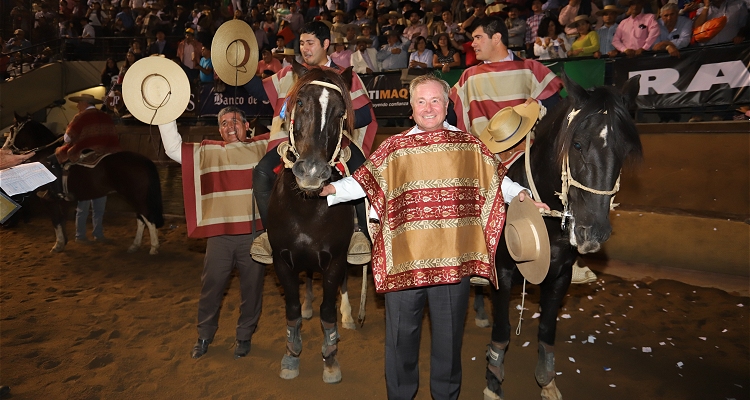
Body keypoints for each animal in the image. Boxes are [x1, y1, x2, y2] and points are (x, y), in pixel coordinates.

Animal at [7, 114, 164, 255]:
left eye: (12, 129)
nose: (6, 149)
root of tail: (143, 160)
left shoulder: (48, 200)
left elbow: (56, 221)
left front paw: (58, 245)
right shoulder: (61, 202)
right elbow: (62, 220)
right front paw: (63, 242)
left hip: (136, 197)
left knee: (148, 218)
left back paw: (154, 247)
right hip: (136, 198)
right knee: (141, 219)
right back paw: (134, 246)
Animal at [266, 64, 356, 382]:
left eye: (340, 113)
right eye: (302, 103)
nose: (312, 171)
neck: (307, 206)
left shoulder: (336, 260)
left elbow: (328, 310)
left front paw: (330, 358)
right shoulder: (282, 260)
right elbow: (291, 308)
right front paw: (291, 354)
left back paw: (349, 315)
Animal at [484, 76, 644, 400]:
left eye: (624, 150)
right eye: (578, 144)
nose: (592, 231)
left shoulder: (560, 276)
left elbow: (547, 331)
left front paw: (547, 383)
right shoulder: (502, 273)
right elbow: (503, 331)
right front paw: (493, 382)